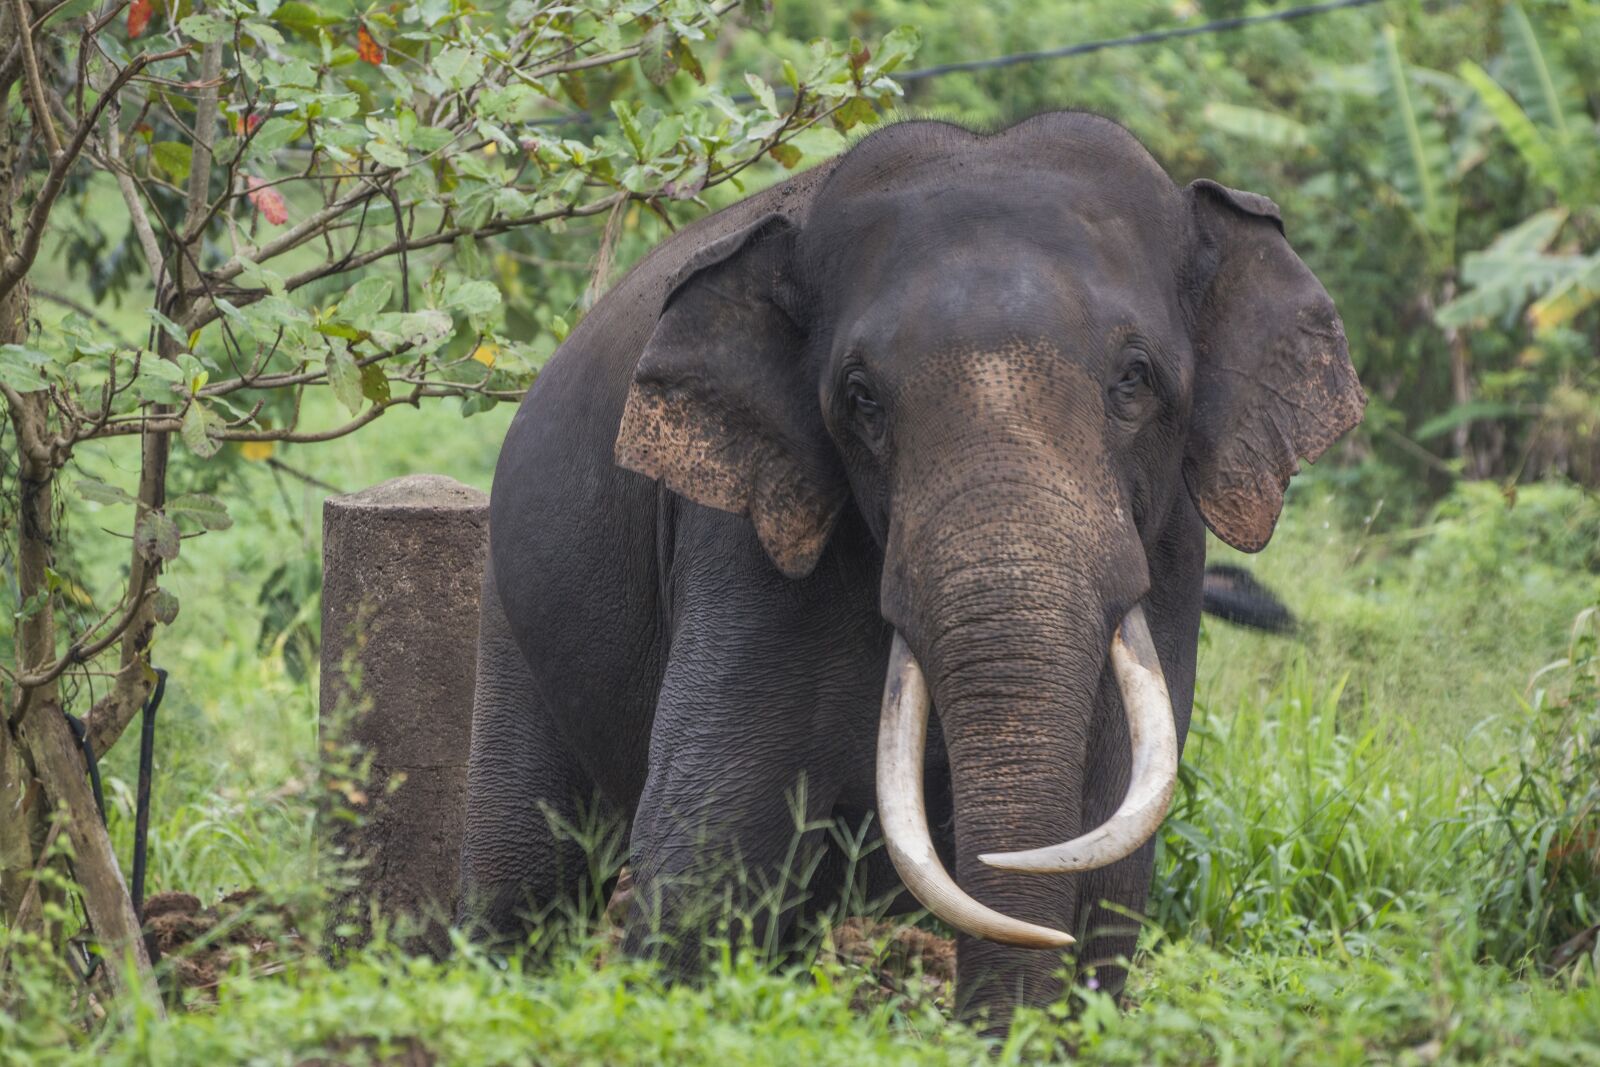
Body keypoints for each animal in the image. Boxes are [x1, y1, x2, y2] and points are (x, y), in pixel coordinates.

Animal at [457, 111, 1364, 1029]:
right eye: (862, 398)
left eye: (1134, 378)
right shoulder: (744, 539)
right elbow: (711, 843)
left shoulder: (1172, 542)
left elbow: (1112, 842)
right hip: (507, 604)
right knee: (526, 869)